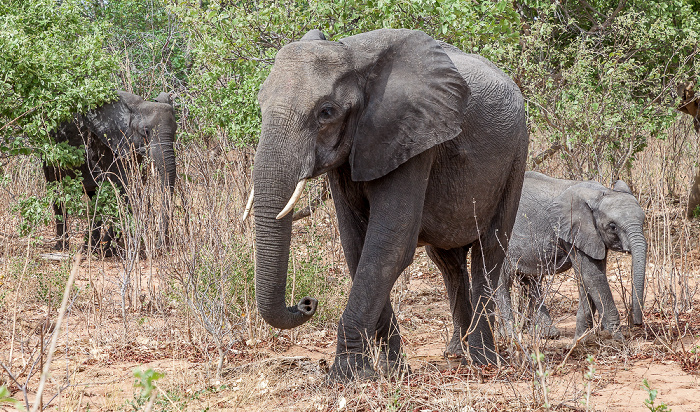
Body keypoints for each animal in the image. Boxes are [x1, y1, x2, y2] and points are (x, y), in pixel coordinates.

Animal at [43, 89, 176, 251]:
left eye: (175, 131)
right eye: (146, 131)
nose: (159, 247)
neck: (135, 108)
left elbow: (134, 188)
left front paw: (107, 249)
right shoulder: (106, 143)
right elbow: (123, 188)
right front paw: (107, 248)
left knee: (94, 197)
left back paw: (89, 247)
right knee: (57, 190)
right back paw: (63, 247)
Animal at [249, 28, 528, 384]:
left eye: (326, 112)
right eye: (260, 103)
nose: (306, 303)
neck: (352, 55)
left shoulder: (412, 138)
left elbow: (388, 246)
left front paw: (346, 377)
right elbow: (357, 247)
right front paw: (392, 372)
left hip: (516, 153)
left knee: (488, 250)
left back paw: (483, 362)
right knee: (448, 262)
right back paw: (457, 353)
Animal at [498, 171, 644, 342]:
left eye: (643, 221)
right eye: (612, 227)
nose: (637, 323)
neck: (599, 193)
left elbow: (587, 278)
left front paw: (581, 340)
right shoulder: (575, 229)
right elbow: (593, 276)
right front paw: (618, 340)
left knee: (531, 280)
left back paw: (547, 334)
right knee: (503, 280)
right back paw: (510, 336)